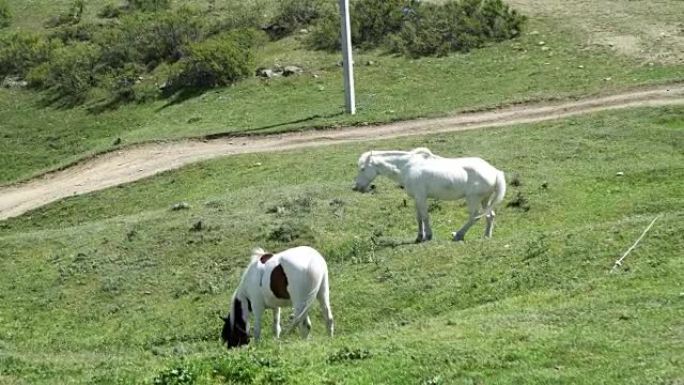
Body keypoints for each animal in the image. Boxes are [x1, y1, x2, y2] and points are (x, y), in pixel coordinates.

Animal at [352, 148, 508, 242]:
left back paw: (458, 235)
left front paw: (428, 236)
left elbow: (425, 217)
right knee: (490, 215)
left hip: (473, 199)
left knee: (474, 217)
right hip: (485, 200)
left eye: (363, 168)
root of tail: (494, 171)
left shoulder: (421, 197)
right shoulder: (417, 198)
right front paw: (419, 236)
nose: (356, 188)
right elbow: (419, 218)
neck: (408, 166)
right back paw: (486, 236)